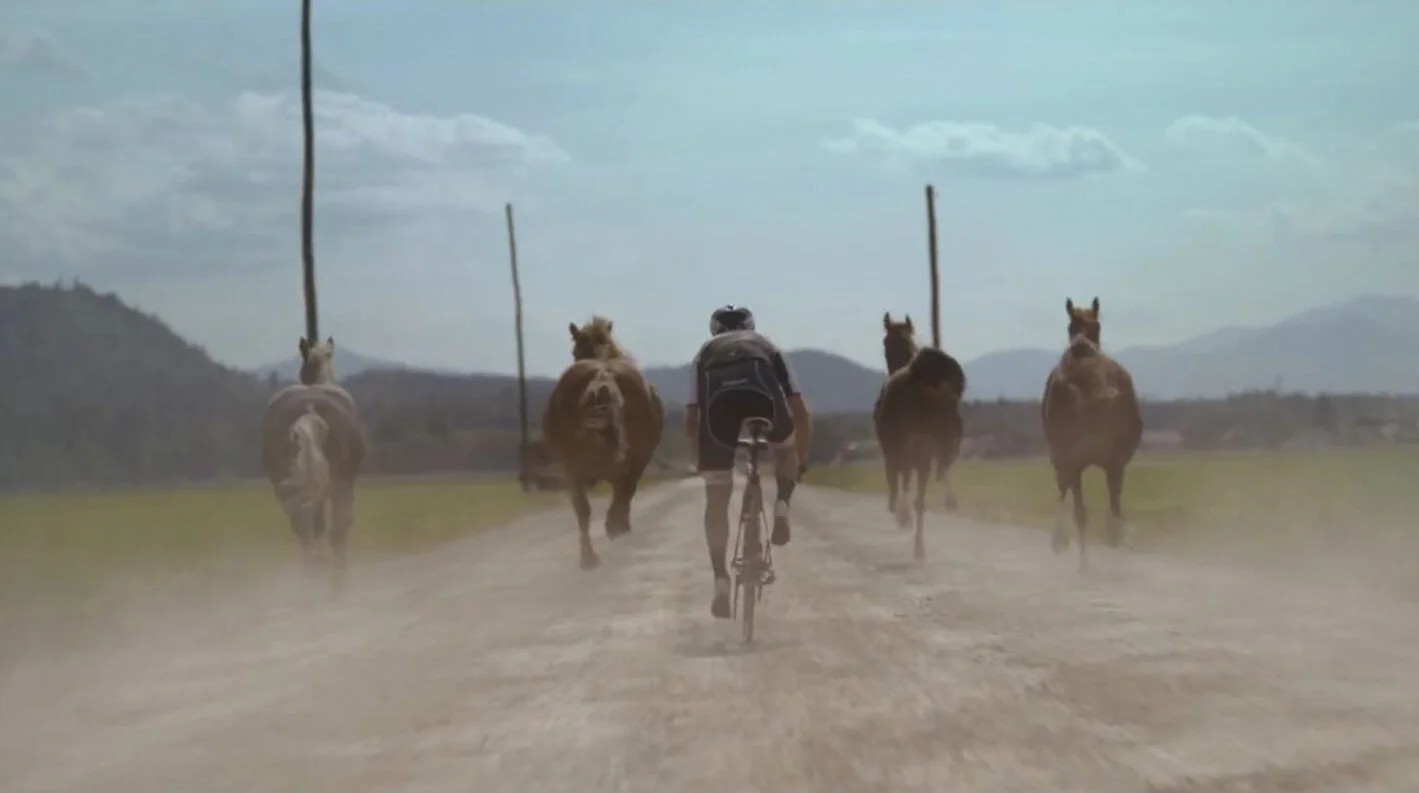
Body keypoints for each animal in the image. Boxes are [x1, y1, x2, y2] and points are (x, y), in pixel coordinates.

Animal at [260, 336, 367, 595]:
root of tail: (309, 412)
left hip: (286, 490)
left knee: (303, 529)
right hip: (341, 487)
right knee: (337, 532)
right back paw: (335, 585)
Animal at [542, 316, 664, 570]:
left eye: (574, 350)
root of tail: (602, 374)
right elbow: (625, 491)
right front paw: (617, 526)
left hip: (574, 466)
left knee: (585, 508)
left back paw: (589, 555)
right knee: (618, 492)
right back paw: (608, 535)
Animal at [873, 312, 967, 560]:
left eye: (885, 342)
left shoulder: (896, 451)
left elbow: (898, 481)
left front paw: (901, 514)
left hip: (907, 447)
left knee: (906, 483)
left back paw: (905, 519)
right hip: (940, 442)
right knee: (936, 478)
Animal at [1041, 297, 1144, 570]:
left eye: (1097, 327)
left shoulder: (1065, 459)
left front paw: (1060, 542)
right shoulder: (1108, 462)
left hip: (1079, 460)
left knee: (1086, 510)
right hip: (1110, 463)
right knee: (1110, 512)